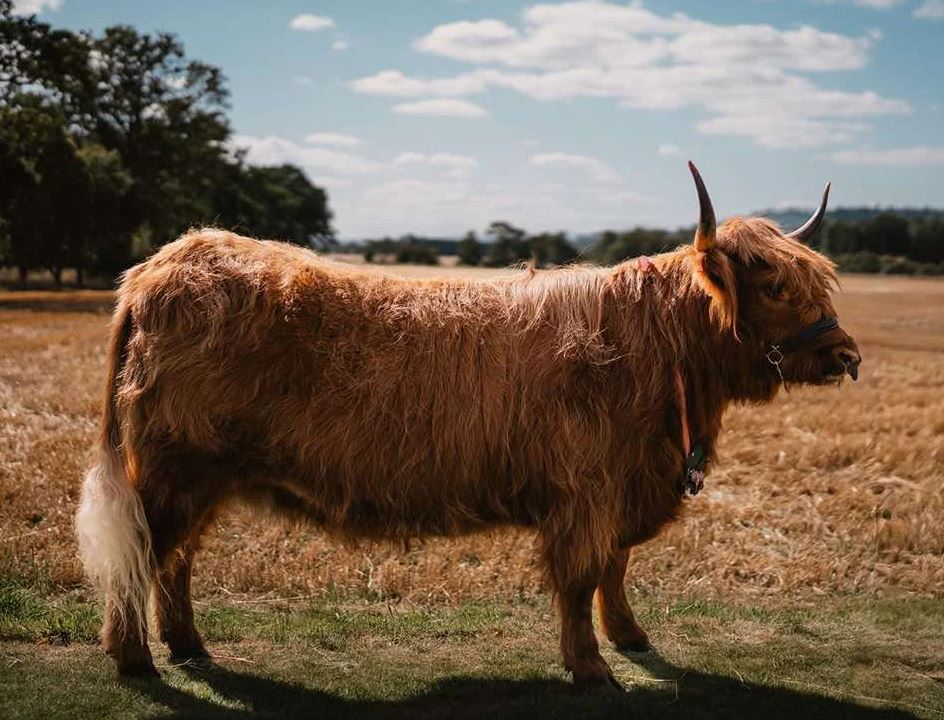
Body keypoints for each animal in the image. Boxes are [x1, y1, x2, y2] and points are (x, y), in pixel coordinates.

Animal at [75, 163, 860, 688]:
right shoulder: (587, 491)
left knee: (175, 558)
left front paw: (631, 639)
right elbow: (583, 577)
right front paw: (591, 668)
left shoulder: (624, 488)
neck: (663, 357)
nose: (847, 356)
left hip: (203, 474)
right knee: (146, 550)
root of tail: (162, 265)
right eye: (774, 286)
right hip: (177, 467)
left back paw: (188, 645)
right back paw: (135, 658)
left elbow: (616, 568)